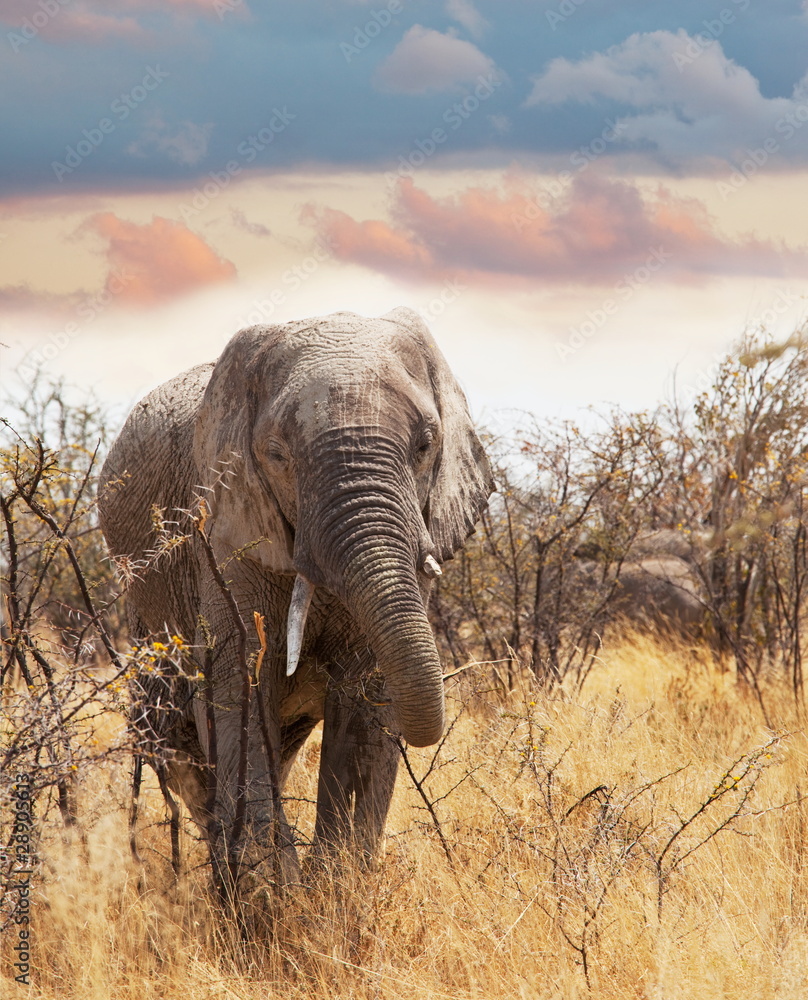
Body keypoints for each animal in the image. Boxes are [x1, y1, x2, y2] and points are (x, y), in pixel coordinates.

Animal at [98, 308, 493, 892]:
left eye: (426, 444)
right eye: (277, 455)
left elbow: (369, 691)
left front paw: (334, 891)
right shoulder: (224, 531)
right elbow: (237, 683)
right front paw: (276, 898)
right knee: (180, 743)